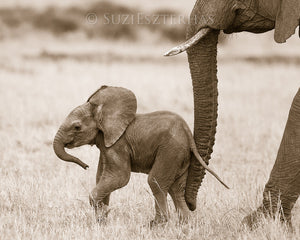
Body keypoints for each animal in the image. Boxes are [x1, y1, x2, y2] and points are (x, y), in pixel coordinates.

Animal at [53, 86, 227, 225]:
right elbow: (101, 176)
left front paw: (102, 213)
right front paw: (102, 219)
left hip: (171, 150)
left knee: (155, 181)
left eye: (77, 127)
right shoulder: (107, 144)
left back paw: (156, 225)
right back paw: (185, 225)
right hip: (180, 155)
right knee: (175, 188)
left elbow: (120, 177)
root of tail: (188, 134)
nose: (85, 166)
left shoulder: (118, 144)